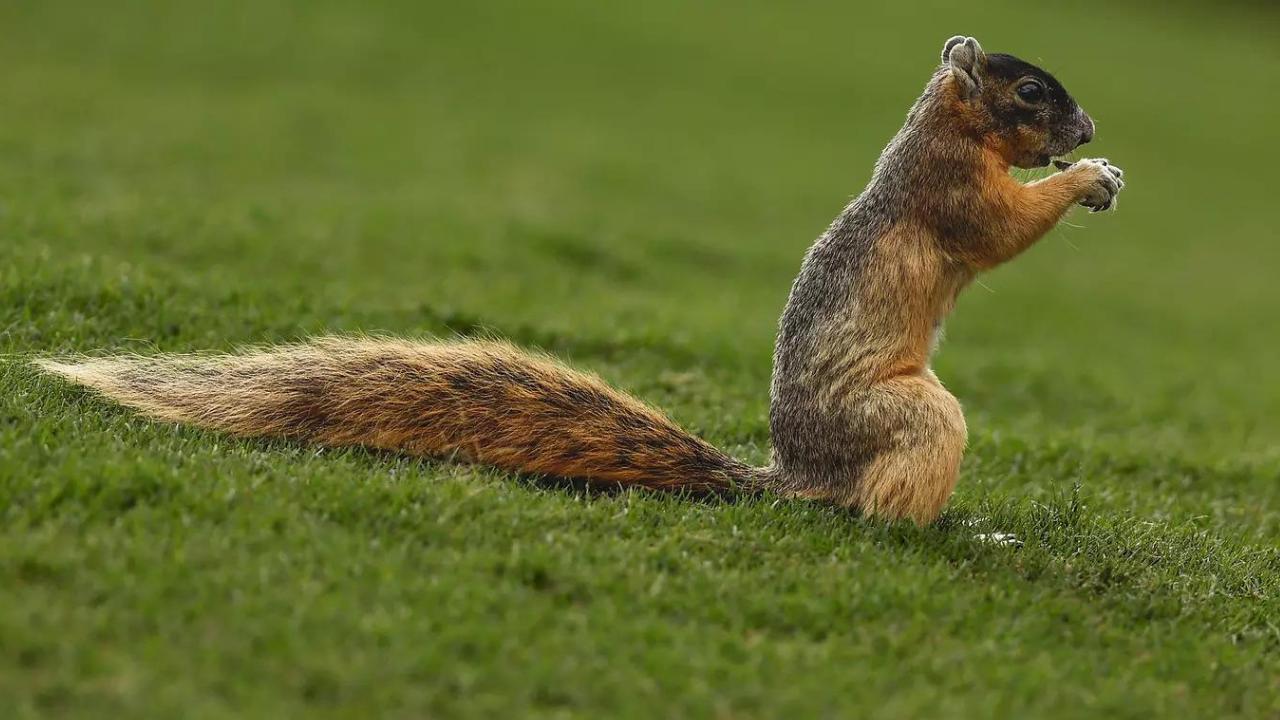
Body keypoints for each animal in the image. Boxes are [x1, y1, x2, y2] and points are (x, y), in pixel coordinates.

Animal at [37, 36, 1121, 520]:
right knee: (874, 503)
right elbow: (998, 226)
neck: (941, 126)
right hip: (907, 418)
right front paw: (1085, 181)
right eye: (1030, 91)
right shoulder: (950, 192)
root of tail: (798, 476)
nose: (1088, 127)